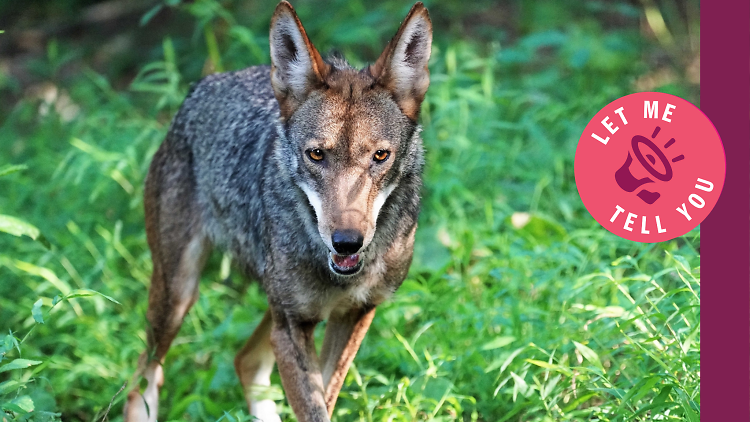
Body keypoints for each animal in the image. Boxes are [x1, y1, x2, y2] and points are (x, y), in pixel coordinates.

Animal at [125, 1, 432, 420]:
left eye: (380, 156)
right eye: (316, 154)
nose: (347, 243)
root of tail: (203, 85)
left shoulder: (355, 314)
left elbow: (325, 400)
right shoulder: (292, 326)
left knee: (246, 361)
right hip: (178, 296)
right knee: (144, 375)